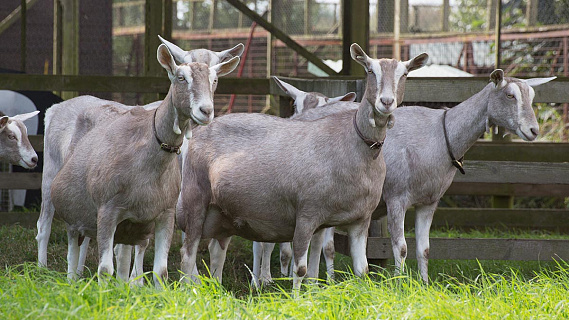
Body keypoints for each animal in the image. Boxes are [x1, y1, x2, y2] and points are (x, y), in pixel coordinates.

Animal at [176, 43, 426, 292]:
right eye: (370, 71)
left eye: (405, 74)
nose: (386, 102)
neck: (355, 145)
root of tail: (200, 131)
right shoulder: (306, 214)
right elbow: (300, 268)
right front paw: (297, 295)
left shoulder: (360, 219)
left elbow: (361, 270)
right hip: (195, 199)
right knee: (187, 254)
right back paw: (190, 291)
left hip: (223, 213)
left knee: (216, 250)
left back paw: (216, 289)